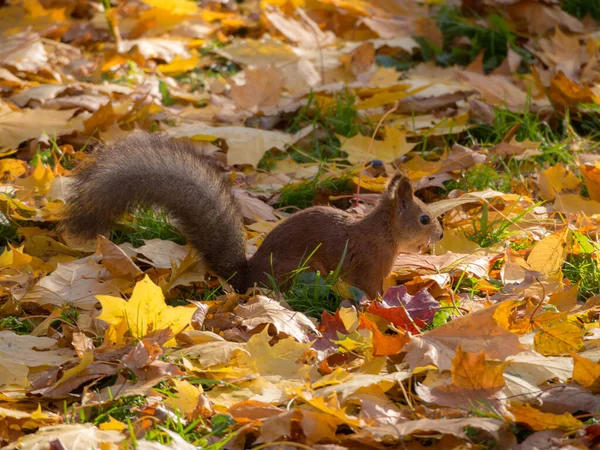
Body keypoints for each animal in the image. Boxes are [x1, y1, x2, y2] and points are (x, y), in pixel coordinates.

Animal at [62, 133, 446, 298]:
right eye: (424, 219)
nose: (440, 235)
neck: (383, 232)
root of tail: (245, 279)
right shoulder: (368, 266)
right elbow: (371, 291)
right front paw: (386, 307)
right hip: (302, 273)